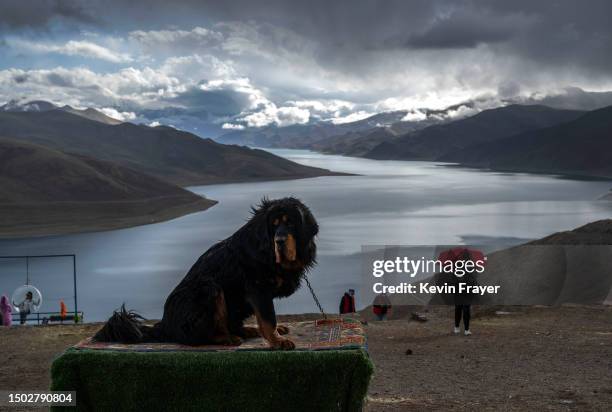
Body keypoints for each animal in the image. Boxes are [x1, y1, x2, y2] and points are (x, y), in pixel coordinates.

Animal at [94, 198, 320, 350]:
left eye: (290, 223)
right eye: (272, 227)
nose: (279, 241)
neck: (267, 251)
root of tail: (165, 325)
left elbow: (265, 317)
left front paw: (274, 334)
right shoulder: (258, 288)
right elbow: (267, 318)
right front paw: (277, 341)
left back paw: (245, 330)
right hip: (209, 289)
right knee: (196, 336)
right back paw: (226, 338)